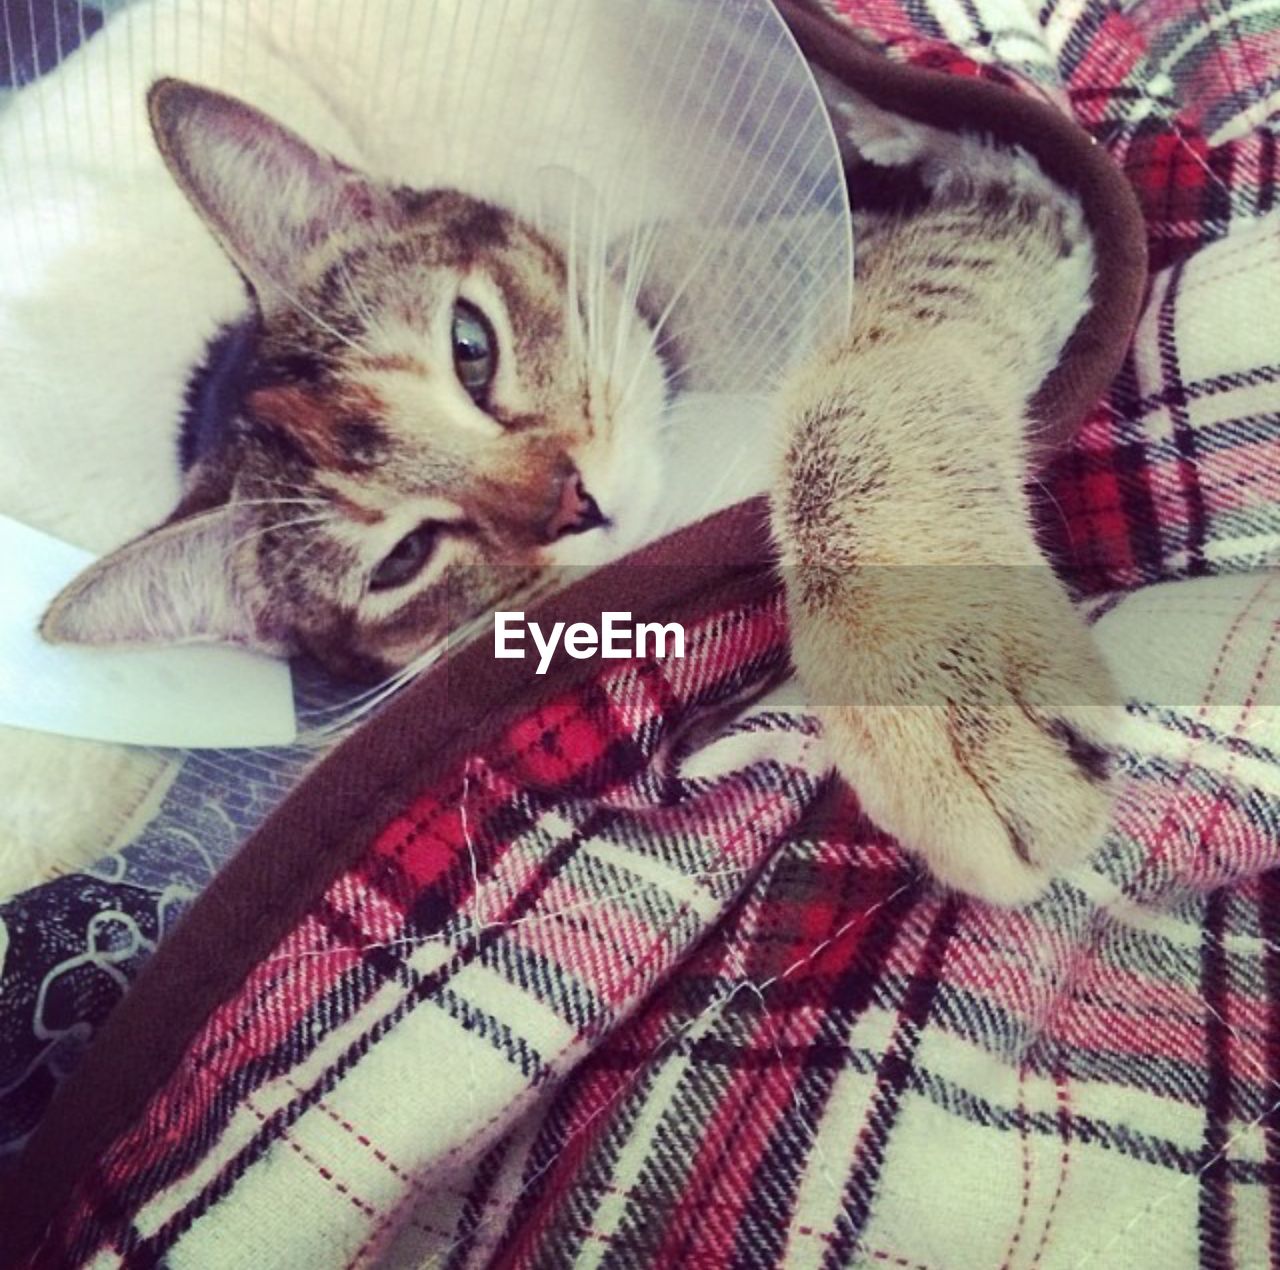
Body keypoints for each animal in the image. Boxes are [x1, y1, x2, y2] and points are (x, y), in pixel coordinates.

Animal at [0, 4, 1116, 906]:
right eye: (404, 559)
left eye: (470, 346)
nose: (575, 502)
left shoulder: (993, 196)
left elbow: (859, 392)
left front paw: (937, 679)